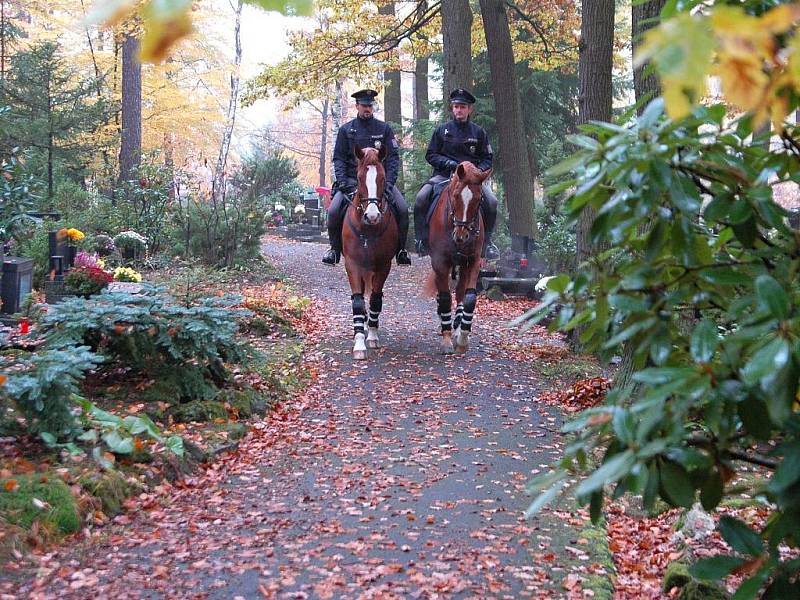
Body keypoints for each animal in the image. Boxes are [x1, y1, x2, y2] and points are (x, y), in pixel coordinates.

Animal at [342, 145, 398, 360]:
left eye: (382, 178)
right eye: (358, 178)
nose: (372, 216)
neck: (368, 229)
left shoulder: (383, 265)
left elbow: (375, 298)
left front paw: (372, 336)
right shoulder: (352, 264)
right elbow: (358, 301)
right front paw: (359, 344)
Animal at [428, 162, 490, 354]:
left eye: (478, 199)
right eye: (455, 195)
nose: (461, 236)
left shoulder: (473, 260)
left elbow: (469, 297)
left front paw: (462, 337)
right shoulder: (440, 262)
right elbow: (445, 297)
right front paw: (447, 340)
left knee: (461, 291)